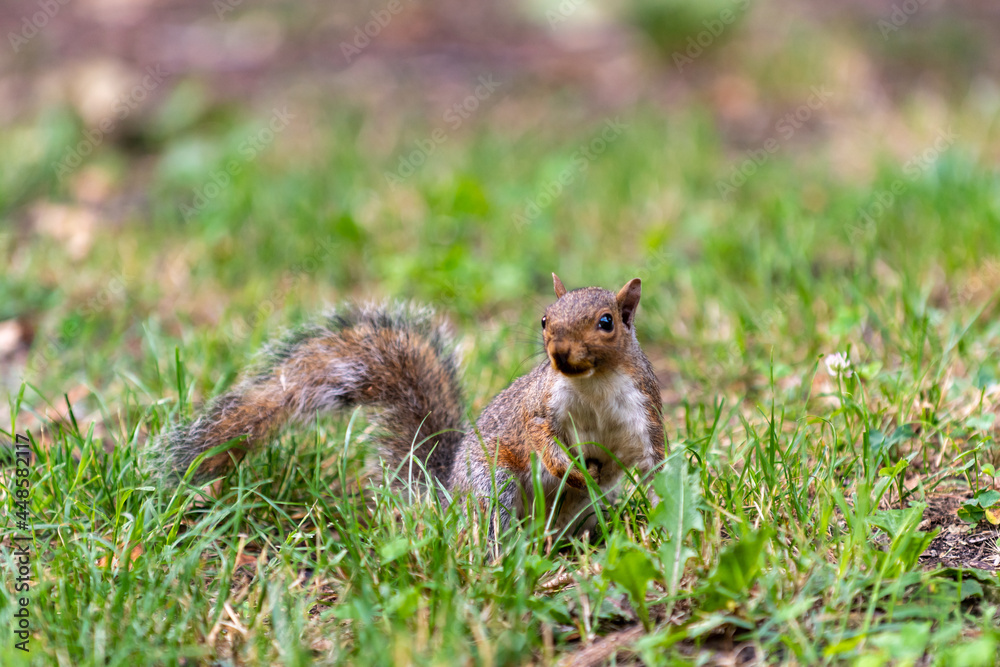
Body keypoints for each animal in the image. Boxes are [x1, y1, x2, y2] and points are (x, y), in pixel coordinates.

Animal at [147, 274, 665, 536]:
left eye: (606, 322)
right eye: (544, 319)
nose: (558, 353)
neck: (593, 382)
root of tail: (448, 497)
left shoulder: (643, 413)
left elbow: (652, 464)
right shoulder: (537, 407)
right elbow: (535, 435)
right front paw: (570, 466)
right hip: (490, 483)